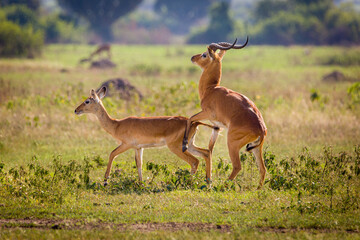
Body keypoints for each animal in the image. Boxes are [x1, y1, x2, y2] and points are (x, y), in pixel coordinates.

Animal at [74, 86, 218, 186]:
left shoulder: (126, 144)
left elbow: (112, 154)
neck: (117, 124)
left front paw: (105, 181)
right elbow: (139, 164)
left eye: (87, 101)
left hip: (176, 147)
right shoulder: (138, 148)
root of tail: (193, 122)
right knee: (206, 153)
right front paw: (141, 183)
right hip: (189, 144)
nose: (76, 110)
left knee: (194, 161)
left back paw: (188, 182)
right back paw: (208, 182)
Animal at [183, 37, 268, 188]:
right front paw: (208, 179)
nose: (192, 57)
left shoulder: (206, 113)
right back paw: (258, 189)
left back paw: (223, 185)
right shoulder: (217, 126)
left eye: (204, 54)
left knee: (237, 166)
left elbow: (190, 118)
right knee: (263, 169)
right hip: (256, 148)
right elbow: (209, 150)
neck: (211, 89)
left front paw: (185, 143)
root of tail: (261, 129)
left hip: (232, 143)